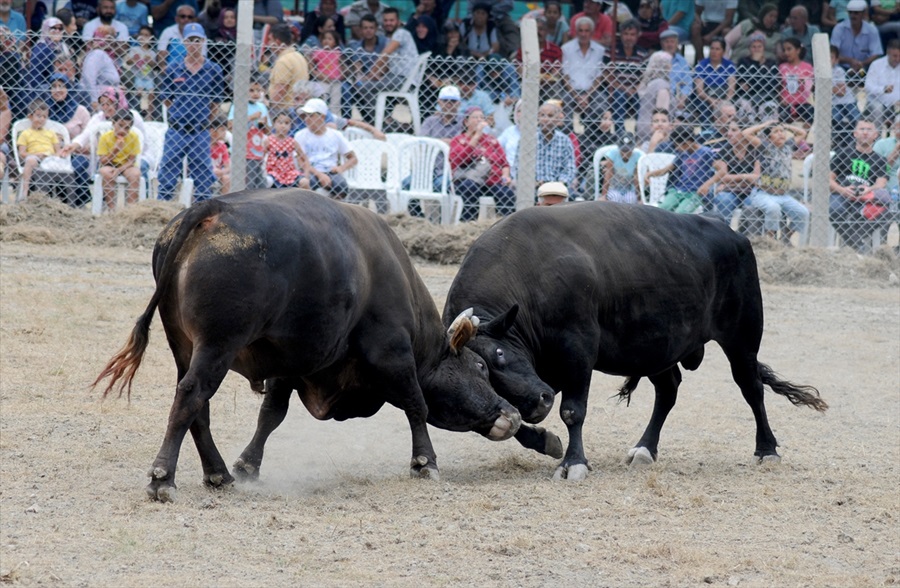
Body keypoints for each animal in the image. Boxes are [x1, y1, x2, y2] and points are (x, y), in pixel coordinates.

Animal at [91, 192, 520, 500]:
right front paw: (425, 461)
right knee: (192, 395)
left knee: (197, 408)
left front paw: (247, 465)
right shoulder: (393, 353)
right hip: (217, 345)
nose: (512, 414)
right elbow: (417, 404)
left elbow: (271, 415)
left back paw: (218, 473)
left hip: (185, 347)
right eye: (481, 368)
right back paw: (163, 477)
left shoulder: (289, 366)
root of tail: (213, 209)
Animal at [442, 204, 828, 480]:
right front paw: (546, 441)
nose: (539, 403)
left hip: (742, 338)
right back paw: (645, 448)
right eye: (483, 374)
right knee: (668, 390)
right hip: (657, 349)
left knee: (751, 388)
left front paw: (574, 462)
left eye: (499, 355)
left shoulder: (577, 352)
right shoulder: (544, 369)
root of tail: (729, 231)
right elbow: (511, 420)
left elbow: (572, 411)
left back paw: (767, 450)